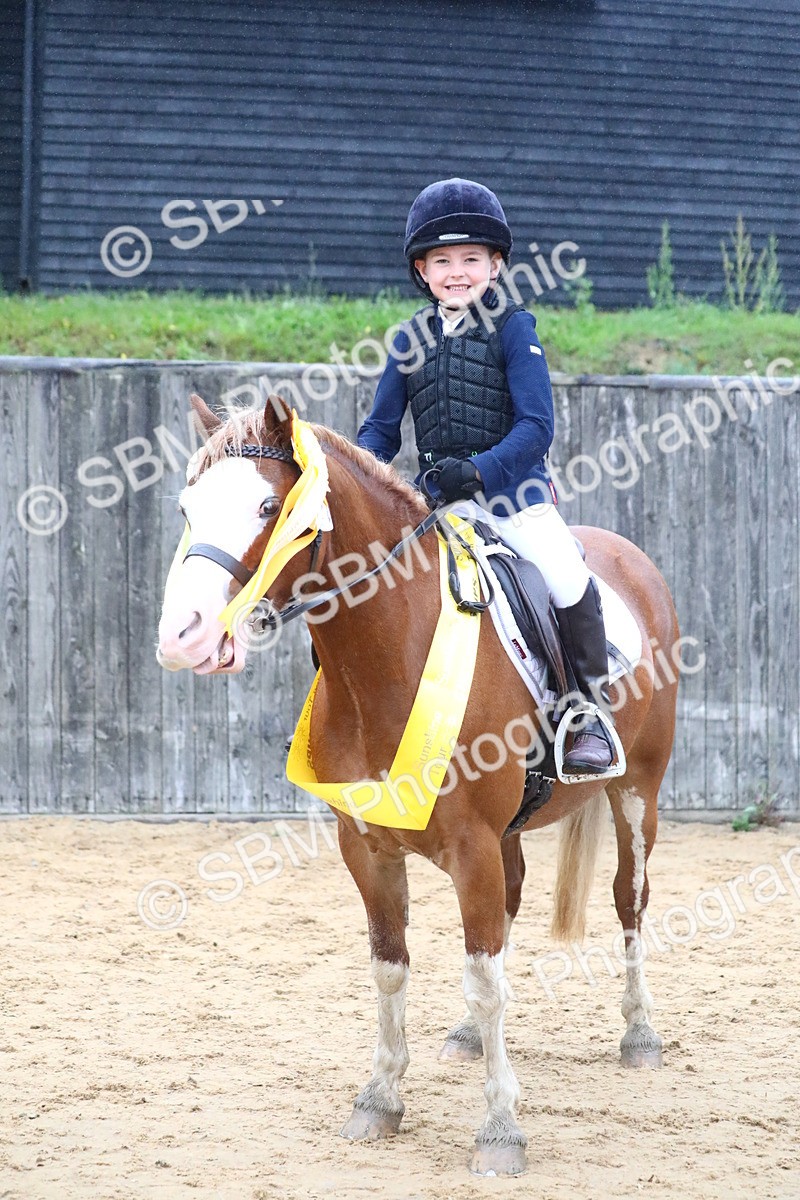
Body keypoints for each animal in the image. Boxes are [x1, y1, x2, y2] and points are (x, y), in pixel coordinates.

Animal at [157, 393, 680, 1177]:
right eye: (189, 507)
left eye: (269, 508)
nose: (181, 635)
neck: (385, 658)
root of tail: (632, 559)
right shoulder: (369, 849)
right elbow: (393, 970)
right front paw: (379, 1099)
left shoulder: (472, 847)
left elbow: (487, 980)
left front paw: (500, 1130)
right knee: (512, 907)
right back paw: (466, 1036)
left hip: (637, 792)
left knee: (630, 901)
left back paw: (639, 1034)